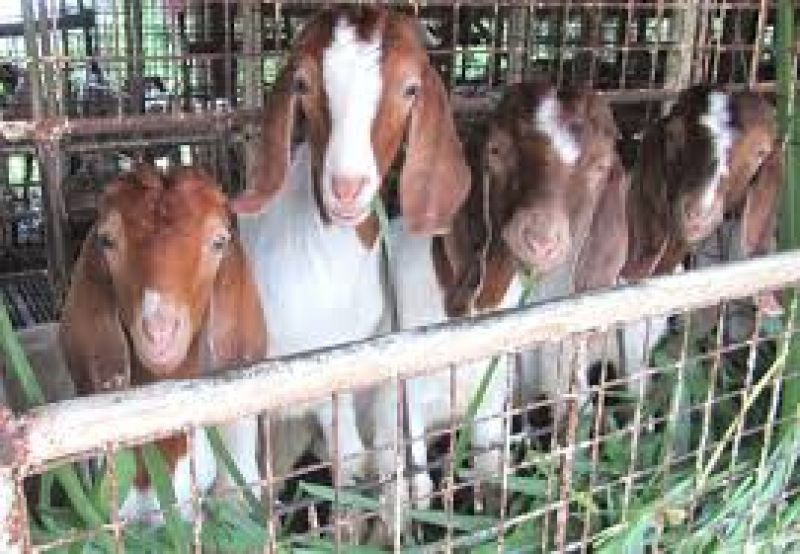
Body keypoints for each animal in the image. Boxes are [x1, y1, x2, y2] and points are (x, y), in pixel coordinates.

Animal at [382, 80, 627, 523]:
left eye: (600, 166)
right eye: (495, 150)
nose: (541, 238)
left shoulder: (492, 399)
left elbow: (491, 472)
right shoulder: (403, 400)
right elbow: (416, 492)